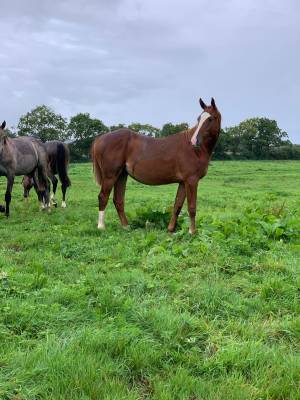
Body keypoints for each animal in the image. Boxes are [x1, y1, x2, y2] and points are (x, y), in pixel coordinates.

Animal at [91, 97, 220, 234]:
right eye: (199, 118)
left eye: (210, 119)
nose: (194, 141)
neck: (195, 150)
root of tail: (99, 138)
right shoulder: (191, 180)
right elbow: (192, 207)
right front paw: (192, 232)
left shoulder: (183, 182)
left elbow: (177, 205)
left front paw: (170, 230)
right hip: (110, 176)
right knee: (103, 197)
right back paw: (101, 226)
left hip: (121, 175)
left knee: (118, 200)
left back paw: (126, 227)